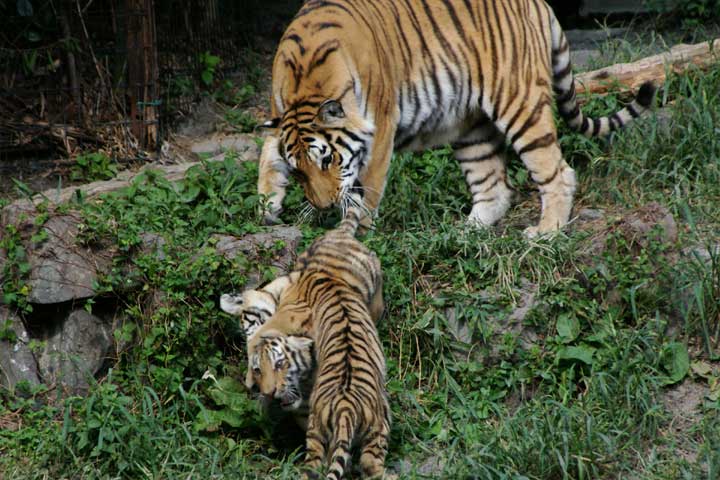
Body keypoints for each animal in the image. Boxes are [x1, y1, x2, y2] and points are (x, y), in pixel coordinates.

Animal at [256, 0, 656, 236]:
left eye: (328, 160)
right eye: (299, 172)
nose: (323, 207)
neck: (303, 83)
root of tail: (537, 2)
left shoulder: (380, 130)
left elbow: (365, 191)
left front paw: (352, 234)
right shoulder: (278, 123)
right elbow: (266, 158)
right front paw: (266, 208)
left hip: (520, 103)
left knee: (558, 171)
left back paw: (546, 231)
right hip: (471, 126)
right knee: (494, 187)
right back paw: (464, 233)